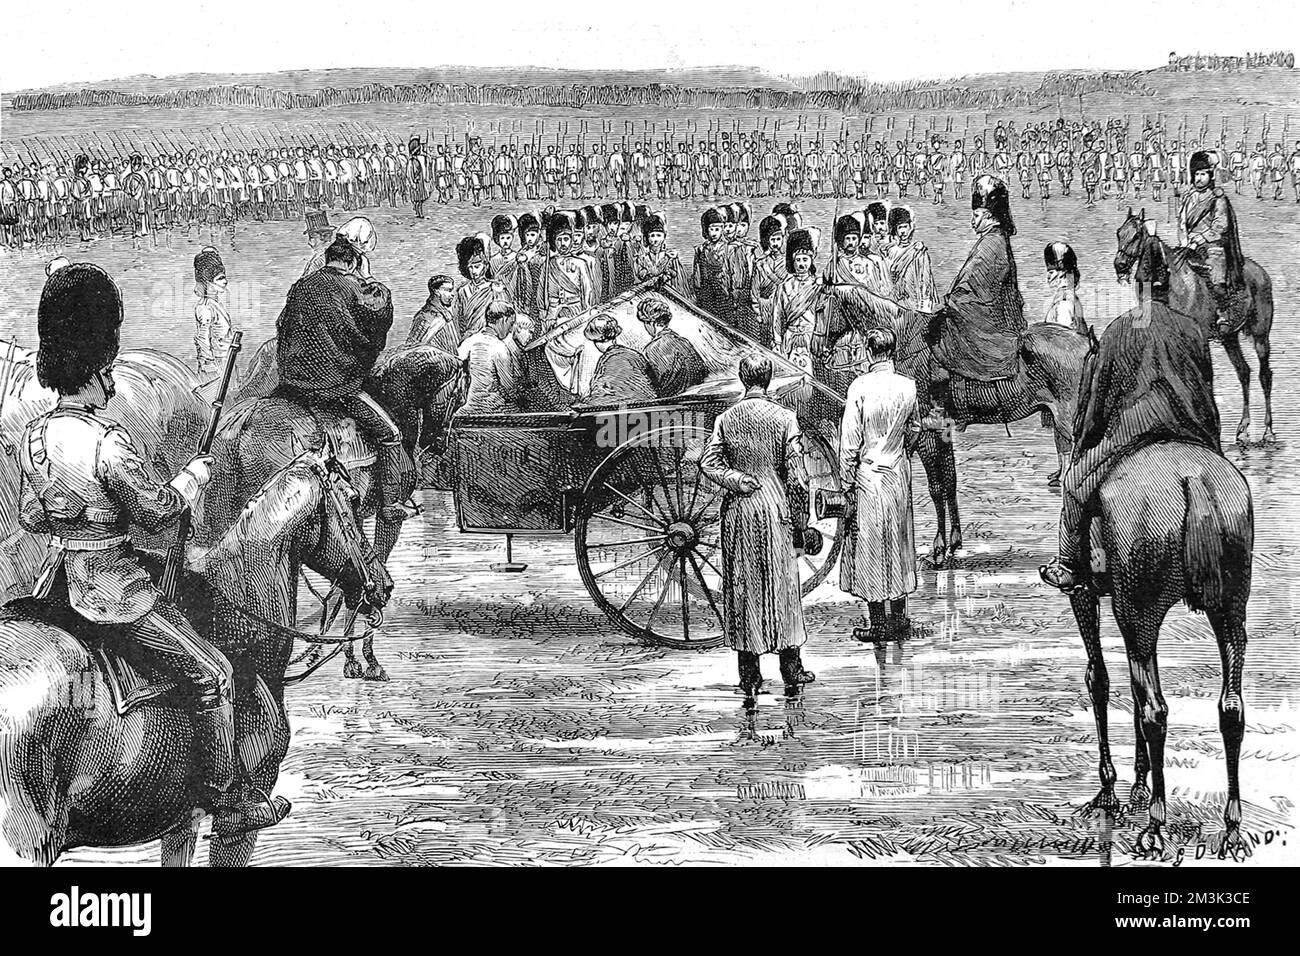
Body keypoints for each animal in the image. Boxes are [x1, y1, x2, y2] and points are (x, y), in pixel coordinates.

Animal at [0, 455, 390, 868]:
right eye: (352, 500)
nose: (383, 586)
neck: (237, 619)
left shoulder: (181, 825)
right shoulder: (239, 826)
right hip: (27, 843)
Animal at [205, 335, 460, 681]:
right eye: (458, 395)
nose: (441, 443)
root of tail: (239, 429)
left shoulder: (347, 518)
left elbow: (347, 577)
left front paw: (339, 652)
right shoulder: (383, 518)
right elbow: (363, 571)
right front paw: (365, 658)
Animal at [816, 283, 1092, 567]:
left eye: (820, 308)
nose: (818, 350)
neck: (906, 337)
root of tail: (1088, 344)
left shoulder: (926, 434)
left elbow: (936, 487)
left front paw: (938, 548)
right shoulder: (941, 432)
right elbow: (950, 481)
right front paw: (954, 542)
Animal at [1066, 442, 1248, 858]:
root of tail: (1193, 479)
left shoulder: (1084, 594)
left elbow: (1098, 680)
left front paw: (1110, 791)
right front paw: (1137, 785)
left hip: (1139, 614)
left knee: (1154, 712)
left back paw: (1155, 826)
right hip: (1229, 612)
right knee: (1230, 709)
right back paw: (1231, 829)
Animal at [1112, 208, 1274, 444]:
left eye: (1136, 235)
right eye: (1119, 233)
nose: (1120, 265)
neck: (1173, 285)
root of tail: (1262, 274)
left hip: (1261, 337)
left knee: (1265, 376)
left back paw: (1268, 431)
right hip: (1229, 338)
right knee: (1244, 372)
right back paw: (1243, 429)